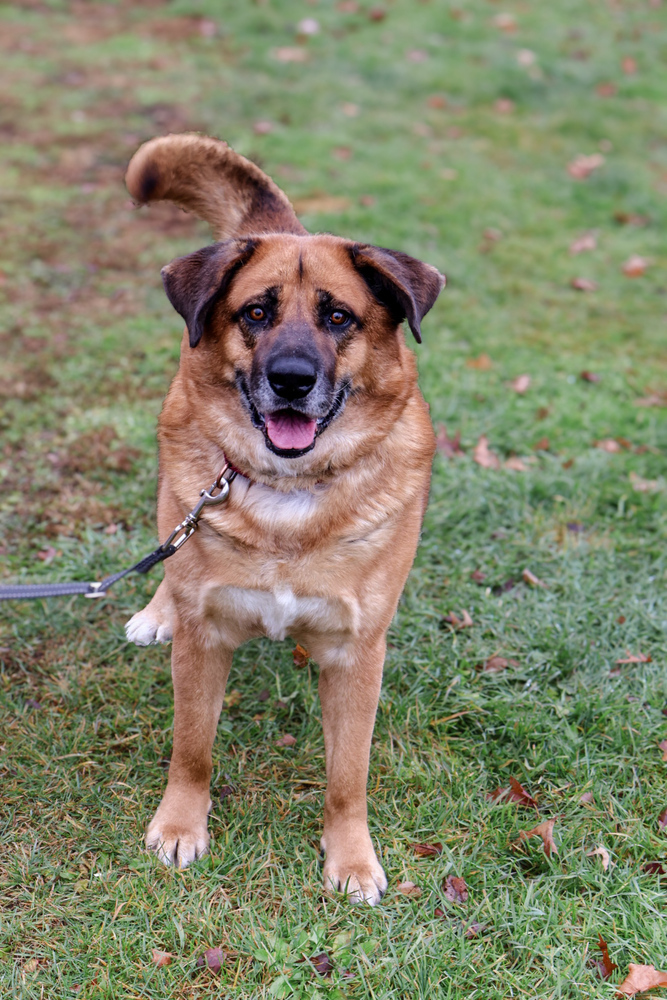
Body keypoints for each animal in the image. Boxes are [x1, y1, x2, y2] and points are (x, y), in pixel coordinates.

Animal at [122, 133, 446, 908]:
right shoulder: (205, 640)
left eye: (339, 318)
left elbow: (347, 776)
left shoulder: (356, 656)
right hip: (174, 489)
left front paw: (350, 857)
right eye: (255, 313)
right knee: (169, 546)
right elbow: (193, 749)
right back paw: (155, 609)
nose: (292, 380)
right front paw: (180, 824)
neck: (287, 496)